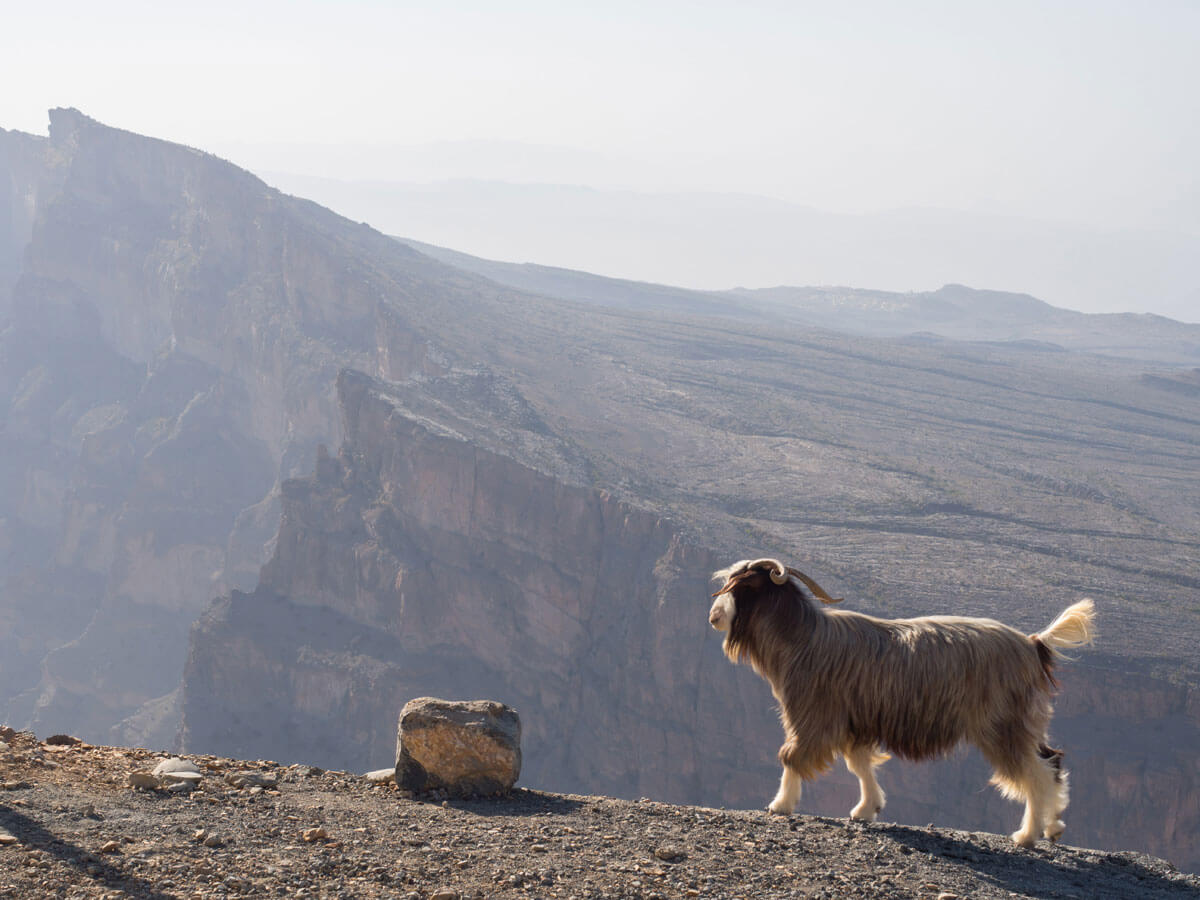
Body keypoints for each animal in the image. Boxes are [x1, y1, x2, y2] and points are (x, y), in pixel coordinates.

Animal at [710, 561, 1099, 849]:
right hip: (1026, 721)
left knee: (1035, 772)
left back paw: (1027, 835)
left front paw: (780, 805)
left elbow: (791, 755)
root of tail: (1033, 644)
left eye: (743, 586)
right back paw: (1053, 826)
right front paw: (867, 809)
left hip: (1003, 725)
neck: (803, 638)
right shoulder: (856, 720)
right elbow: (859, 763)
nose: (713, 617)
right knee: (1051, 761)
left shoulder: (814, 715)